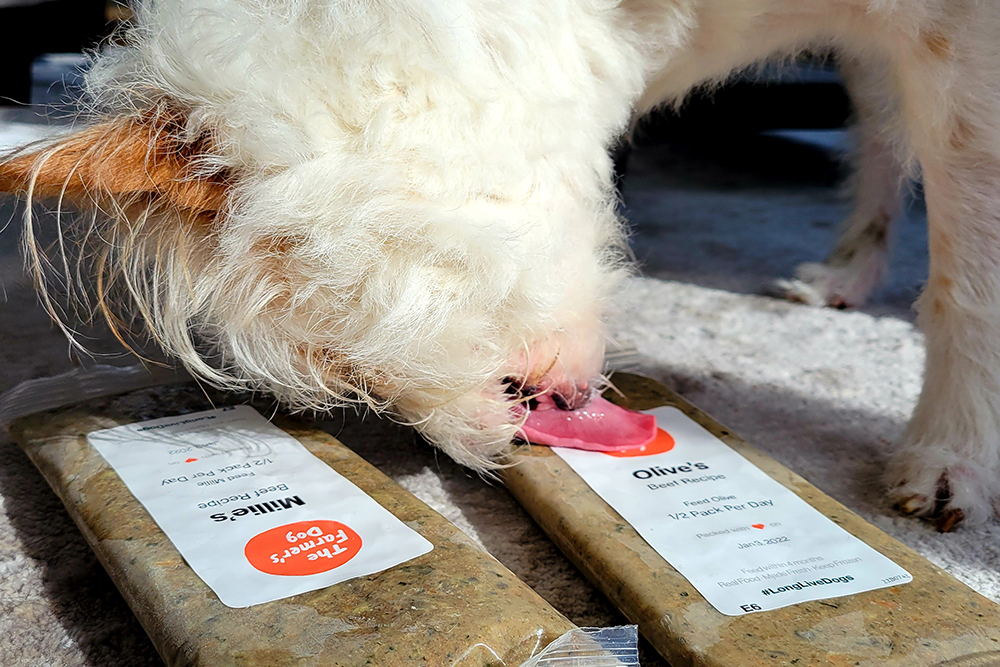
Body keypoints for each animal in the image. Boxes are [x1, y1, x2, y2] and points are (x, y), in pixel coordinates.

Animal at [1, 1, 1000, 532]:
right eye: (340, 367)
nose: (512, 429)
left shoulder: (958, 43)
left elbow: (968, 279)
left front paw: (951, 454)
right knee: (880, 132)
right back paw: (841, 274)